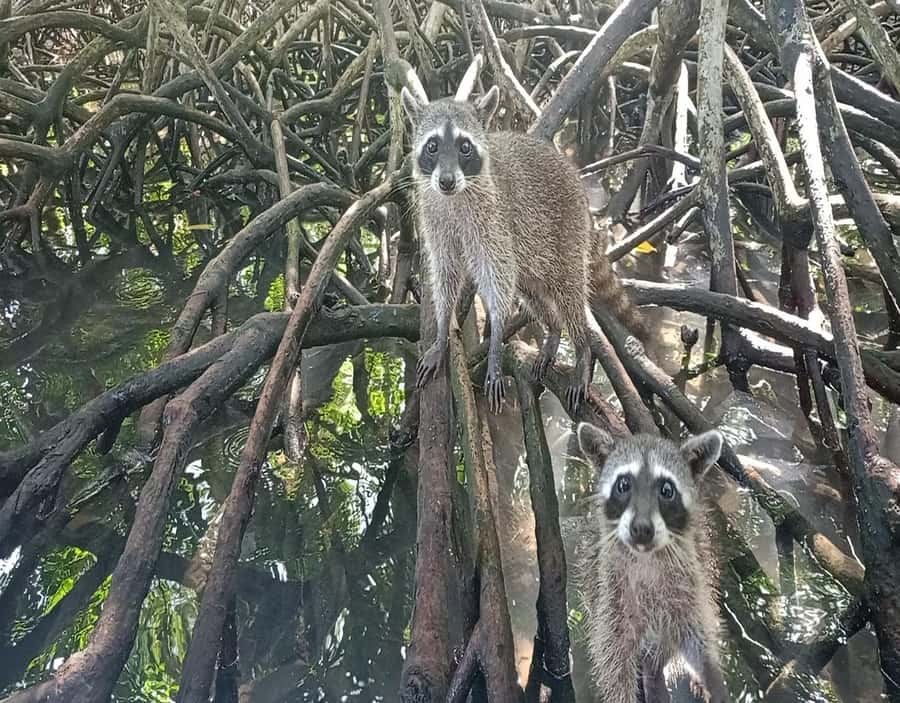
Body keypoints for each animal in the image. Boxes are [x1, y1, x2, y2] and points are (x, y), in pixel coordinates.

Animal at [576, 424, 727, 703]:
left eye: (667, 490)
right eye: (623, 484)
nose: (642, 528)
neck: (646, 558)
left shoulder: (687, 584)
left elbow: (696, 635)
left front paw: (709, 673)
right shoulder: (611, 599)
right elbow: (614, 664)